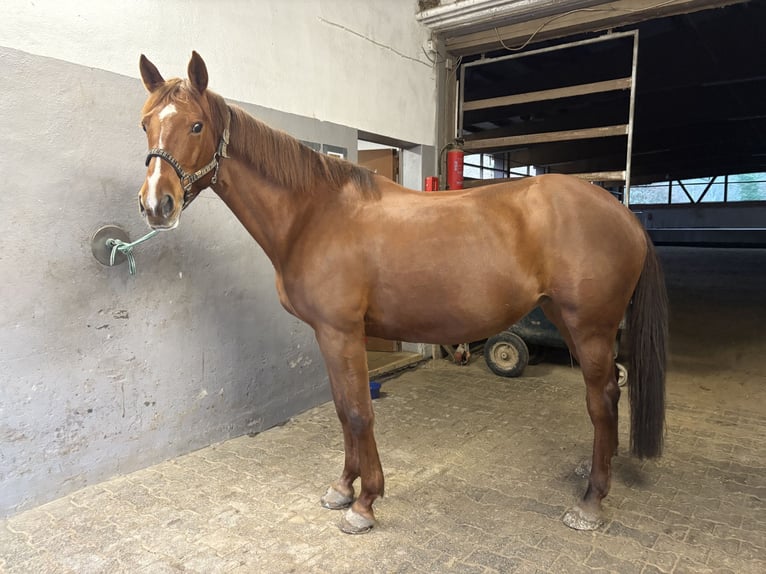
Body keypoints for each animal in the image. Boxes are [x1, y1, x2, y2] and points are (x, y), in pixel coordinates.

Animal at [137, 52, 668, 534]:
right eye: (145, 124)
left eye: (197, 126)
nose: (156, 205)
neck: (314, 214)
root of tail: (623, 215)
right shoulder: (328, 336)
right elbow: (341, 409)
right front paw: (342, 488)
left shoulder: (342, 333)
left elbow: (358, 413)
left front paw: (364, 503)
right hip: (568, 319)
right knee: (608, 394)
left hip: (591, 326)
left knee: (602, 397)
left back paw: (591, 502)